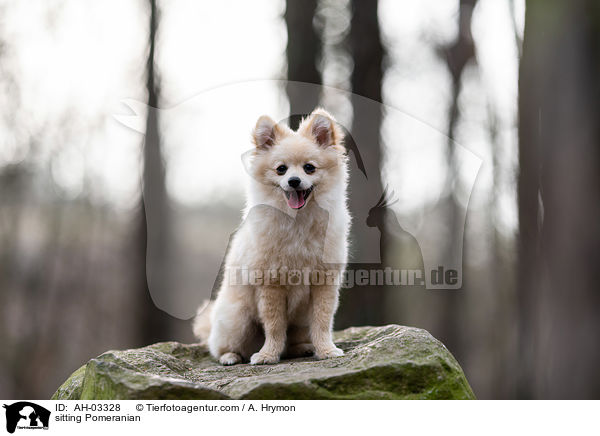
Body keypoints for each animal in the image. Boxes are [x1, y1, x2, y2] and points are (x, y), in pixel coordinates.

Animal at [192, 109, 352, 364]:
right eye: (281, 169)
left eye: (309, 168)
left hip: (298, 324)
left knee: (293, 341)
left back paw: (303, 348)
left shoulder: (323, 281)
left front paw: (326, 350)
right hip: (238, 319)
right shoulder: (271, 284)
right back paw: (231, 356)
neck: (298, 222)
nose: (294, 181)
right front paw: (268, 355)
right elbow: (275, 325)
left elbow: (322, 321)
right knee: (219, 347)